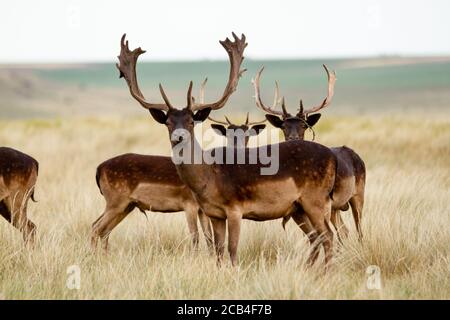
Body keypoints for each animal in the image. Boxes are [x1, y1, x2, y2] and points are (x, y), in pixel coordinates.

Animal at [114, 32, 340, 266]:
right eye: (168, 123)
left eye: (191, 122)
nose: (179, 137)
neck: (208, 179)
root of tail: (333, 157)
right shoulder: (214, 214)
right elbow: (218, 251)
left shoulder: (235, 208)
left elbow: (232, 251)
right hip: (299, 207)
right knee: (317, 237)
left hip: (316, 199)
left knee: (328, 236)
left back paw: (325, 271)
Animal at [253, 65, 366, 240]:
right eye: (283, 126)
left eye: (304, 126)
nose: (292, 138)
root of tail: (358, 157)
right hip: (335, 208)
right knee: (344, 231)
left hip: (358, 193)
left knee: (359, 230)